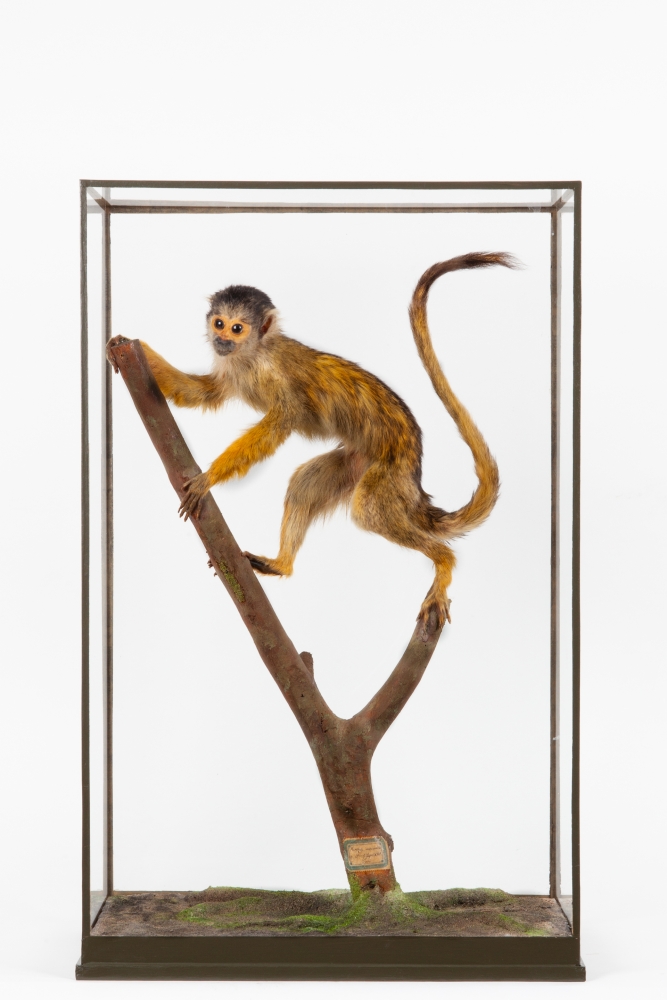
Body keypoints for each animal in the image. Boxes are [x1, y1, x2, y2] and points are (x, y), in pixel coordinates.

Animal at [111, 252, 516, 632]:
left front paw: (208, 478)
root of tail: (415, 476)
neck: (252, 354)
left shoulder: (274, 376)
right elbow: (203, 394)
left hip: (389, 474)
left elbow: (277, 426)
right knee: (306, 484)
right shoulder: (231, 370)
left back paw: (444, 561)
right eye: (219, 322)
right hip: (357, 464)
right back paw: (281, 565)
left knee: (368, 509)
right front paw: (127, 347)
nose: (222, 339)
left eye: (238, 328)